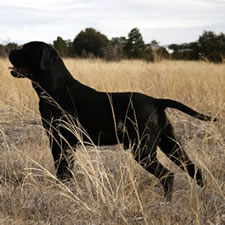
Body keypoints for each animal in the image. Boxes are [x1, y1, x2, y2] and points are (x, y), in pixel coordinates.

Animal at [9, 42, 216, 200]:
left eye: (25, 49)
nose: (10, 49)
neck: (55, 88)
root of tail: (156, 101)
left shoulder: (59, 141)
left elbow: (62, 171)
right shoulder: (69, 144)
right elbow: (67, 172)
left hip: (143, 150)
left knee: (168, 174)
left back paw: (167, 203)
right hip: (170, 144)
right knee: (194, 169)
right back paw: (203, 197)